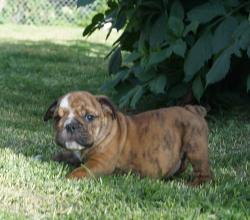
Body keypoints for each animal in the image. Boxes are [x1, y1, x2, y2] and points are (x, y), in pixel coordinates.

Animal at [44, 91, 212, 186]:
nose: (70, 125)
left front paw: (68, 178)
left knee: (205, 174)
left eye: (89, 117)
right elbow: (64, 155)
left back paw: (193, 185)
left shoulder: (99, 163)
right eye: (57, 118)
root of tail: (192, 109)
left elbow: (81, 170)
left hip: (196, 148)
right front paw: (48, 157)